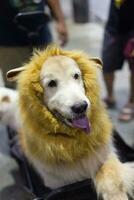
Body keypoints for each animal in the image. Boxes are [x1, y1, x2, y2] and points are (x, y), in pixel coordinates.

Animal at [7, 46, 134, 199]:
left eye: (76, 76)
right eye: (51, 83)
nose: (81, 107)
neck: (74, 143)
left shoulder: (103, 156)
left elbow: (112, 180)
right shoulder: (56, 183)